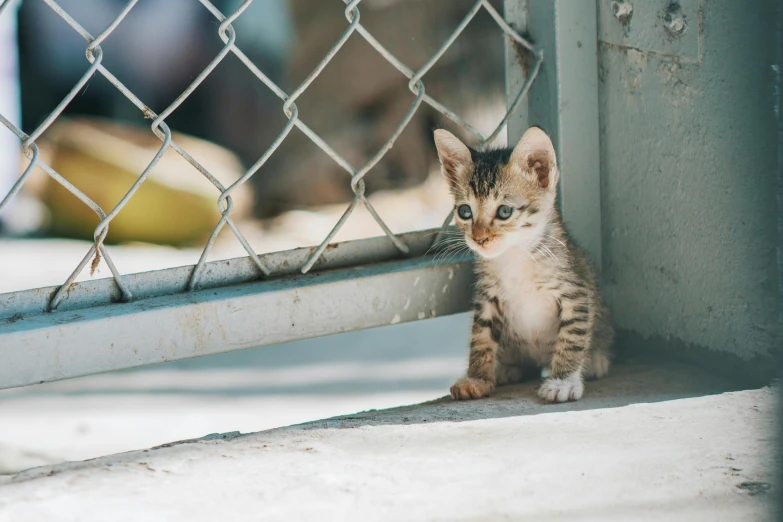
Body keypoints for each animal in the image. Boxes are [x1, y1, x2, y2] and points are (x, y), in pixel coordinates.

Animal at [434, 126, 612, 402]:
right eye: (465, 211)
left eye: (504, 212)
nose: (479, 238)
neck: (516, 256)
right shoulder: (487, 297)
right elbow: (480, 338)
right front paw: (477, 378)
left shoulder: (577, 291)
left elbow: (572, 337)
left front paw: (562, 381)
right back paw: (506, 368)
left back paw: (594, 361)